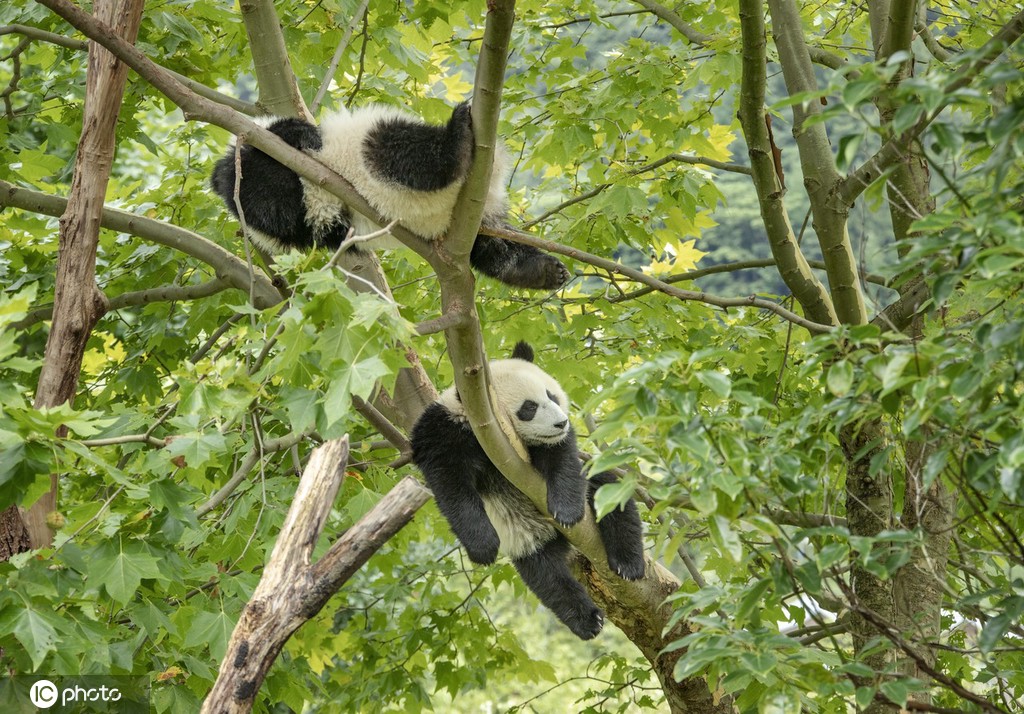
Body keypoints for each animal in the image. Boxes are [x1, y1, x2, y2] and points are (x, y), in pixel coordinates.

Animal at [210, 100, 573, 288]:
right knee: (411, 156)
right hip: (379, 147)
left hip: (468, 223)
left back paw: (543, 271)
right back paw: (457, 135)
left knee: (493, 248)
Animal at [411, 342, 643, 639]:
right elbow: (453, 489)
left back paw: (628, 564)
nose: (561, 423)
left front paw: (566, 512)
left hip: (594, 488)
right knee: (547, 577)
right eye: (529, 407)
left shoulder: (555, 447)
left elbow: (562, 458)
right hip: (526, 538)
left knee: (610, 494)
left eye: (551, 396)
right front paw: (483, 548)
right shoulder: (442, 435)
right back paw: (588, 621)